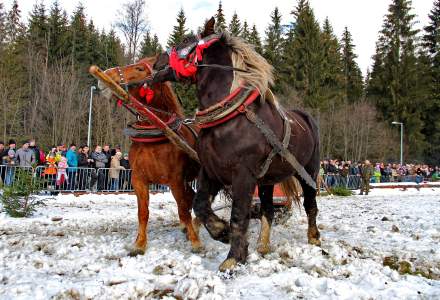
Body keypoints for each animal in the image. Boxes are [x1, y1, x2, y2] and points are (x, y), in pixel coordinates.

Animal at [99, 57, 202, 254]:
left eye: (139, 68)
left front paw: (196, 242)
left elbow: (183, 209)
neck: (155, 134)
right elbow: (143, 212)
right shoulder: (138, 179)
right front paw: (139, 244)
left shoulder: (176, 180)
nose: (107, 73)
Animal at [152, 18, 324, 272]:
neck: (229, 119)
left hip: (308, 171)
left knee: (310, 204)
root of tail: (306, 117)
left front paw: (234, 257)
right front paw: (220, 232)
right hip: (266, 181)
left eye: (185, 40)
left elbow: (238, 215)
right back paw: (263, 246)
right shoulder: (210, 172)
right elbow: (200, 205)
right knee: (268, 210)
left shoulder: (243, 175)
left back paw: (314, 238)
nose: (156, 62)